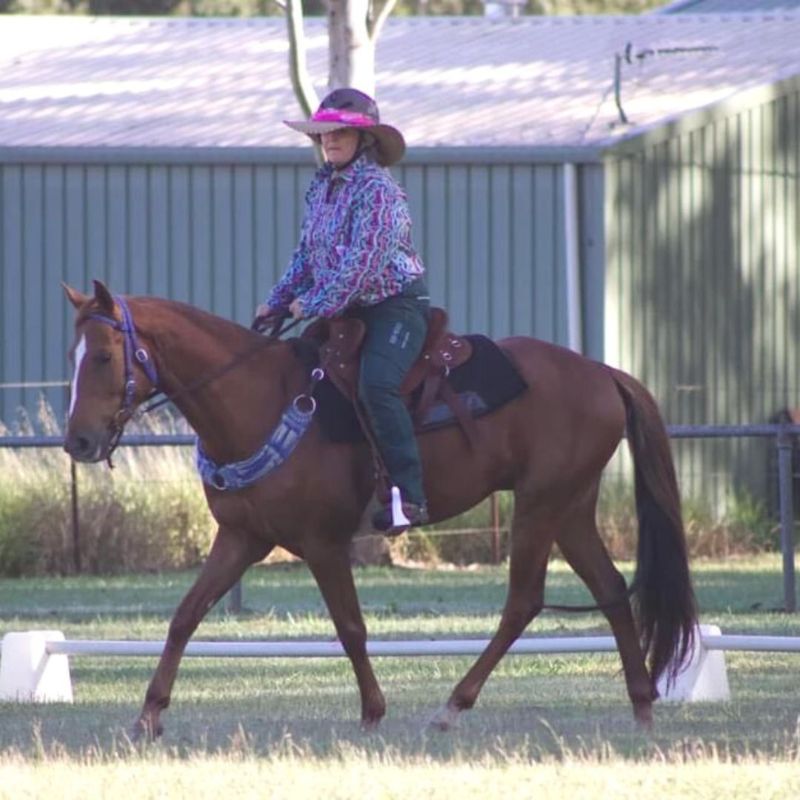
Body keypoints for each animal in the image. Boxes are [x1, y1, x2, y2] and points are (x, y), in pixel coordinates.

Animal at [63, 279, 697, 739]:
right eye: (74, 355)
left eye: (103, 357)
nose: (79, 442)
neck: (258, 399)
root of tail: (603, 373)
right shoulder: (242, 538)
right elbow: (185, 616)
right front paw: (149, 714)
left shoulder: (322, 544)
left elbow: (350, 626)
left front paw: (372, 712)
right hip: (571, 506)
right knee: (610, 588)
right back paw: (642, 706)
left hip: (540, 505)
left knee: (523, 601)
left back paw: (452, 705)